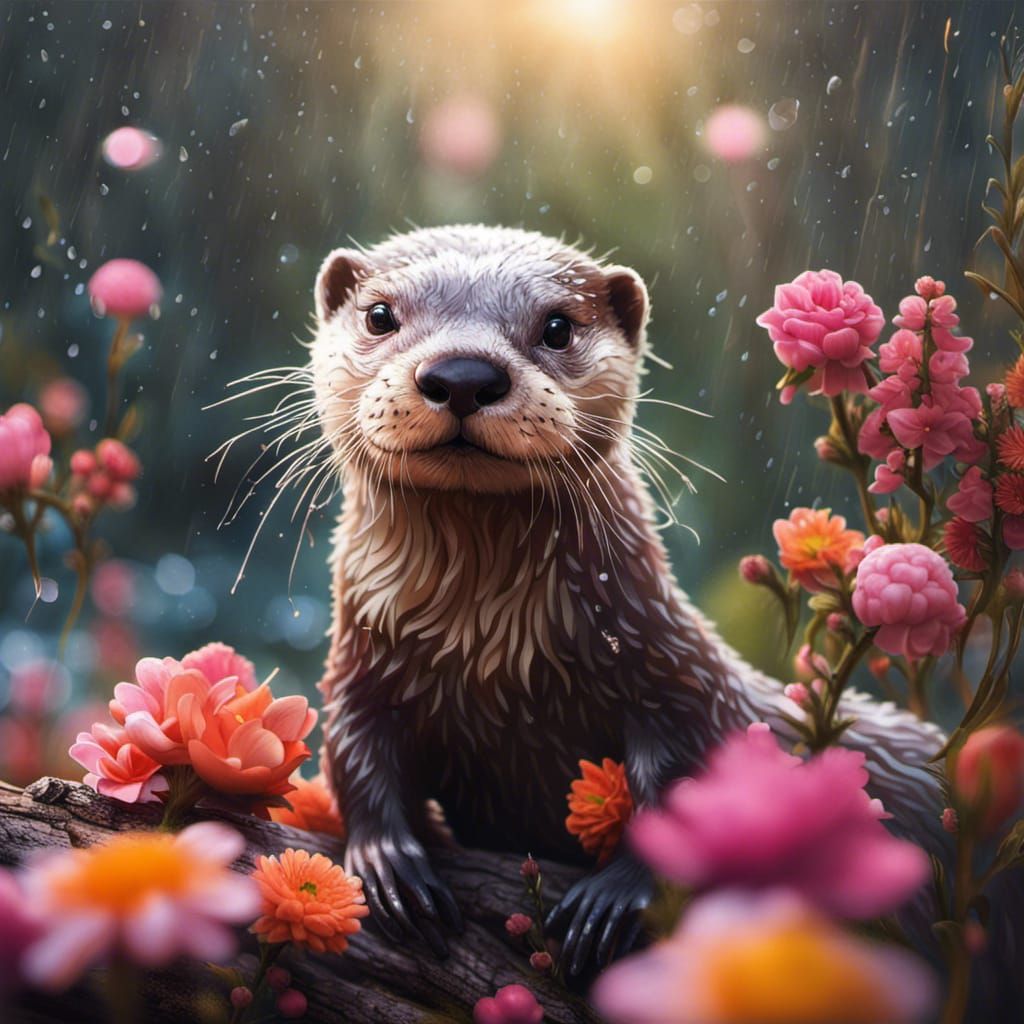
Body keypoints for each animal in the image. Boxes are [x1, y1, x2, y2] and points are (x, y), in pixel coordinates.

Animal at [310, 224, 951, 974]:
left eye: (558, 326)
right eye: (381, 315)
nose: (464, 374)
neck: (491, 653)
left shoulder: (673, 669)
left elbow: (685, 779)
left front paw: (613, 899)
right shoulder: (362, 664)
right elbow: (356, 753)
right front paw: (390, 864)